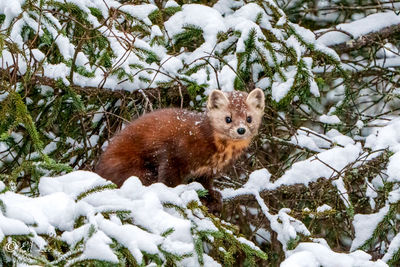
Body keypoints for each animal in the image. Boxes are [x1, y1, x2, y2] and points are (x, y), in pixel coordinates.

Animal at [96, 89, 266, 213]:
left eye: (249, 118)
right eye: (228, 118)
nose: (241, 129)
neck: (217, 154)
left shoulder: (206, 171)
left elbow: (205, 185)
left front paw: (213, 198)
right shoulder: (174, 153)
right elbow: (168, 178)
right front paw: (174, 194)